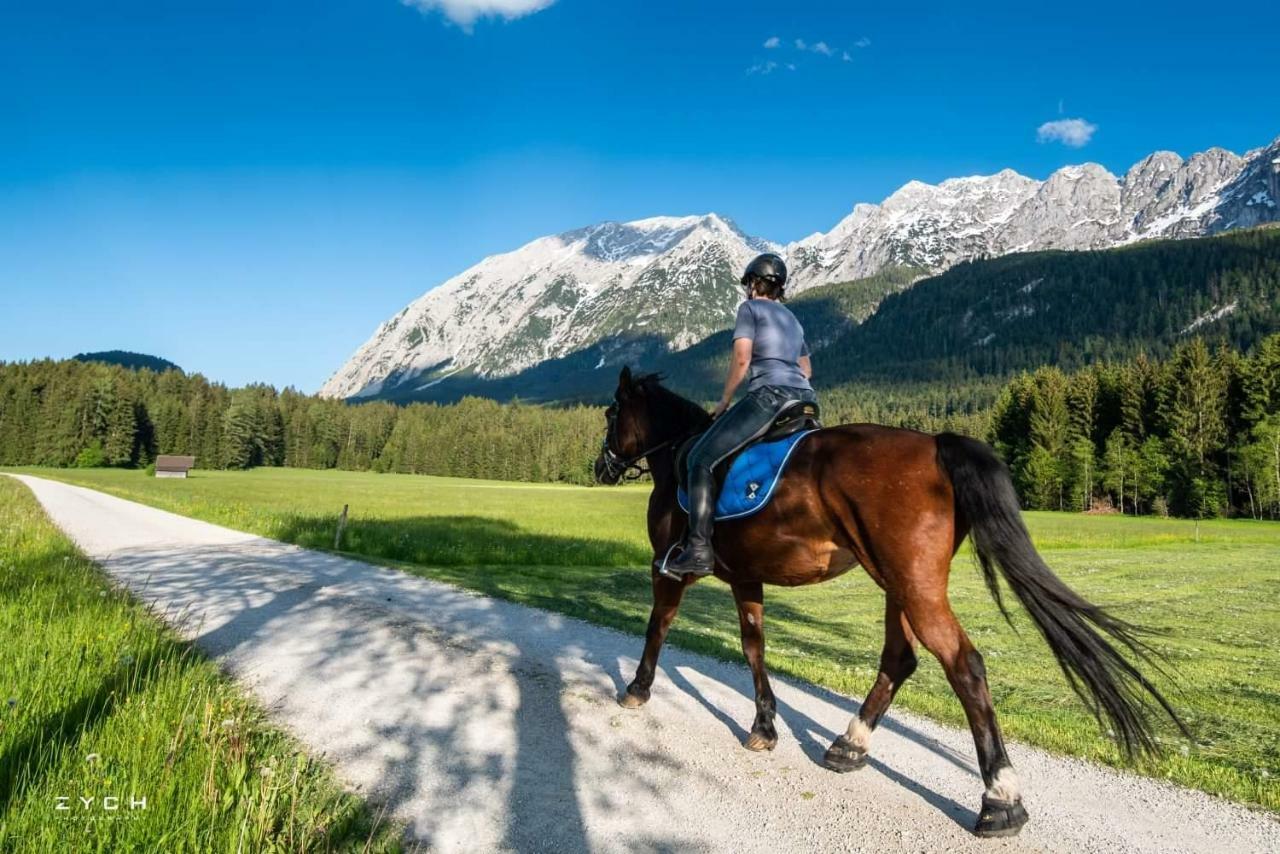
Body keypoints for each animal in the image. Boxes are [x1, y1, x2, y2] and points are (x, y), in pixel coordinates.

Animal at [593, 368, 1182, 839]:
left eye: (611, 412)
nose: (602, 468)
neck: (680, 455)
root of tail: (936, 445)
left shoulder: (666, 567)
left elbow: (658, 626)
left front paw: (636, 689)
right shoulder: (746, 578)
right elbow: (754, 646)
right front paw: (764, 727)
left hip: (913, 584)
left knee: (964, 664)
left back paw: (1000, 801)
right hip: (898, 581)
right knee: (901, 658)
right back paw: (849, 746)